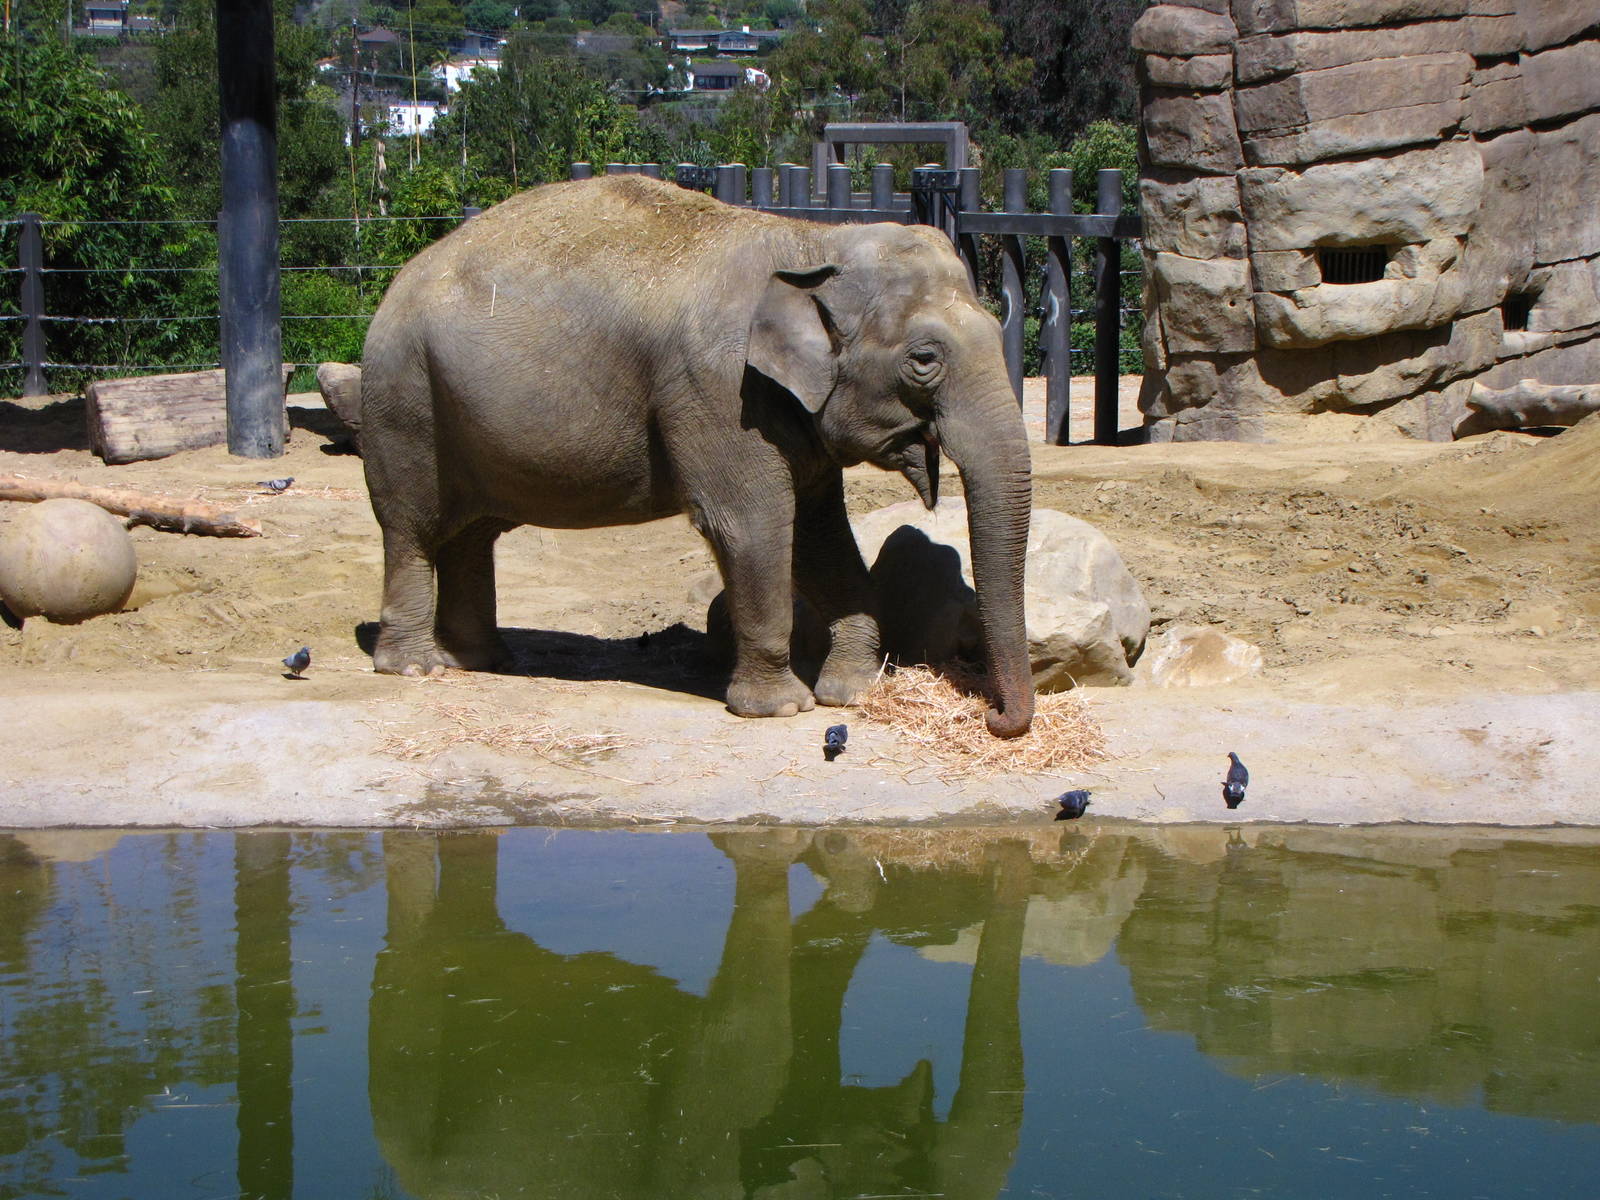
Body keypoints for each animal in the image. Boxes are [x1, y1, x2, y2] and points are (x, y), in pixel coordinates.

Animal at [357, 174, 1034, 737]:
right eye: (924, 360)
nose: (995, 718)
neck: (810, 240)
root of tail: (393, 286)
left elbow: (820, 534)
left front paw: (852, 691)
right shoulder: (716, 389)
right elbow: (754, 524)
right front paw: (780, 709)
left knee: (472, 534)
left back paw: (481, 661)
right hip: (403, 400)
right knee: (410, 528)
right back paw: (415, 668)